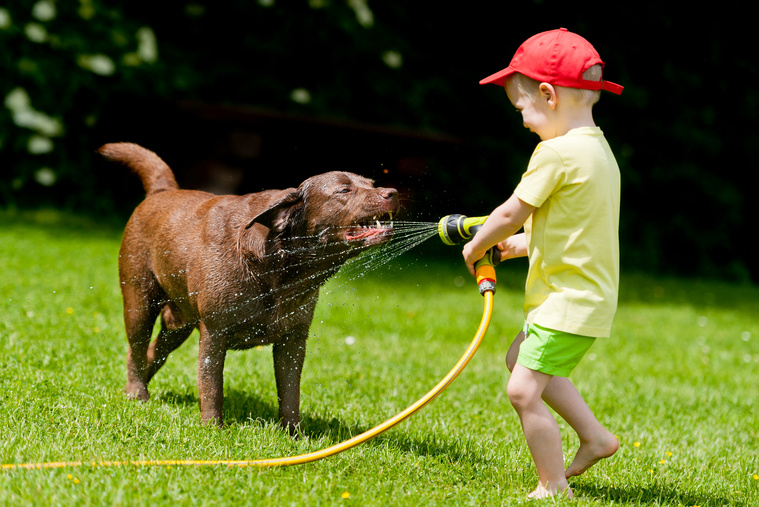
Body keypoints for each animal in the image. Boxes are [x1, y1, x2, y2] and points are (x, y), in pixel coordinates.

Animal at [98, 144, 400, 436]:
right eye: (344, 190)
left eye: (372, 183)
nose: (392, 192)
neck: (279, 266)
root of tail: (162, 192)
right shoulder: (214, 333)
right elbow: (212, 385)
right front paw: (213, 429)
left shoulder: (293, 340)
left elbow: (290, 393)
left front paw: (294, 435)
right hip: (139, 302)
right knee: (136, 349)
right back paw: (137, 395)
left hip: (178, 324)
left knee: (153, 351)